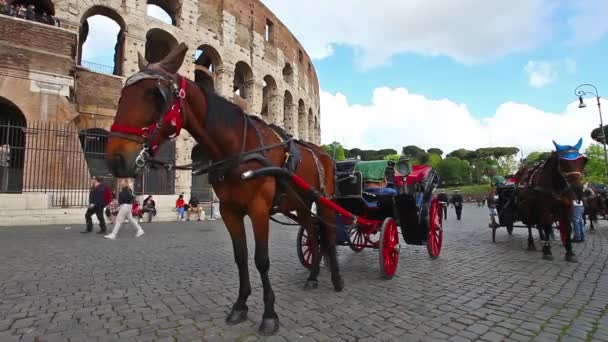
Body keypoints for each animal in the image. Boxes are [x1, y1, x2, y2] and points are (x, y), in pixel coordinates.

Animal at [104, 42, 342, 334]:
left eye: (154, 95)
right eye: (123, 94)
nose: (116, 158)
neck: (239, 148)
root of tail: (324, 153)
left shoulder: (259, 208)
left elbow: (261, 259)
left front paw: (269, 314)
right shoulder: (229, 210)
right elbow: (240, 257)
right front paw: (240, 306)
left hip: (325, 199)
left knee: (328, 233)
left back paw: (336, 278)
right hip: (299, 203)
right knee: (311, 230)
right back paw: (313, 276)